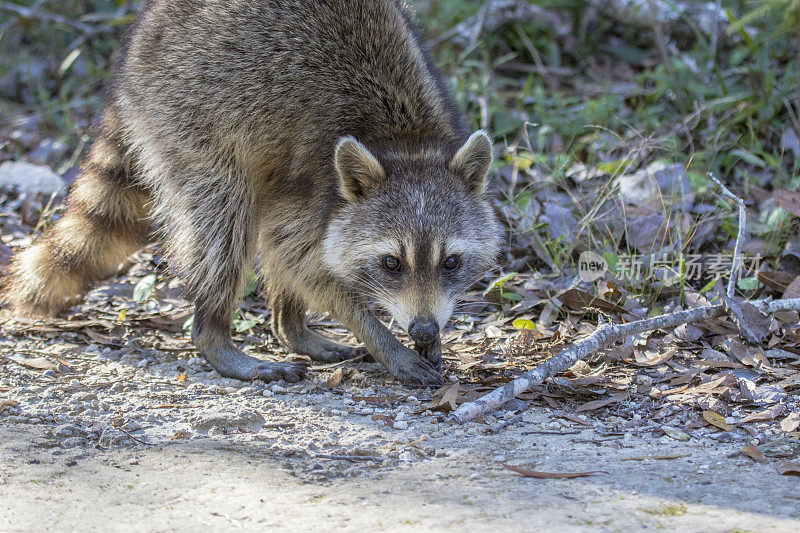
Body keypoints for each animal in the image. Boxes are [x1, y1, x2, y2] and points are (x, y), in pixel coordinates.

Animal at [3, 0, 500, 384]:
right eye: (391, 263)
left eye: (451, 262)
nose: (423, 330)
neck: (404, 143)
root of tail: (142, 34)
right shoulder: (312, 183)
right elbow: (305, 264)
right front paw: (381, 338)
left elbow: (293, 254)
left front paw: (428, 336)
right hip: (187, 114)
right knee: (224, 222)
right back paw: (216, 334)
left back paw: (290, 326)